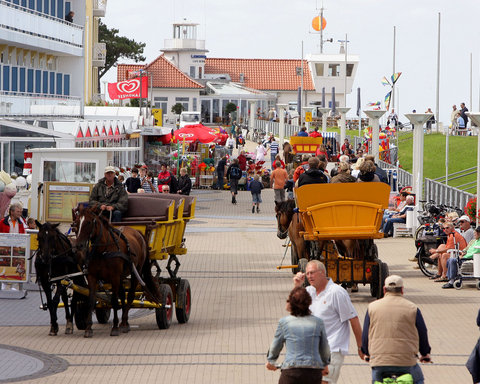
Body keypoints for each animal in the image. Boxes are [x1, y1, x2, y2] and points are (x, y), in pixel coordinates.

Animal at [74, 206, 158, 338]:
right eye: (77, 223)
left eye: (88, 222)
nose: (79, 245)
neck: (103, 250)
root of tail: (137, 232)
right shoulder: (92, 277)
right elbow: (91, 300)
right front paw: (88, 328)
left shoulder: (114, 277)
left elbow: (114, 300)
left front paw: (115, 327)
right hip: (121, 276)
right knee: (123, 295)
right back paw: (124, 322)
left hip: (135, 272)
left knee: (130, 296)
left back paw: (123, 322)